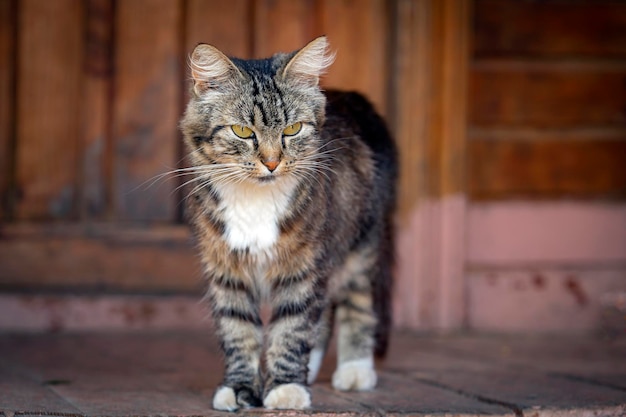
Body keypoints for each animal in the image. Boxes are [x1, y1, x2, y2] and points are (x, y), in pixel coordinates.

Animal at [178, 37, 398, 412]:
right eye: (242, 131)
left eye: (292, 129)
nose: (271, 163)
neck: (255, 201)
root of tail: (354, 97)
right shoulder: (227, 269)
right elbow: (239, 331)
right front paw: (240, 388)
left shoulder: (304, 266)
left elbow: (293, 328)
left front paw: (286, 389)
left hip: (360, 245)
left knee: (356, 304)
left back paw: (355, 369)